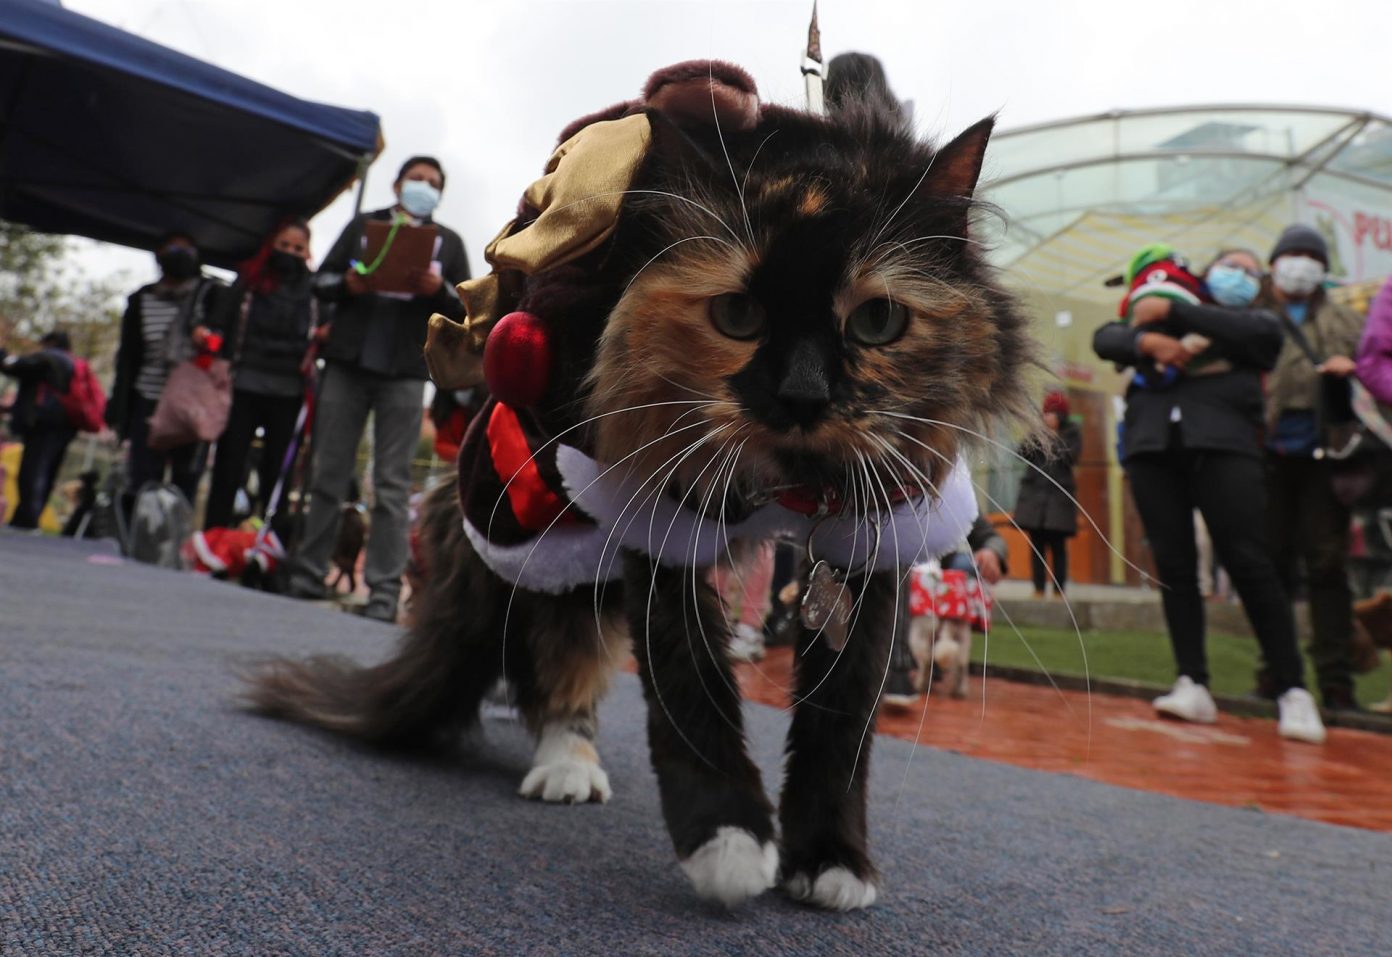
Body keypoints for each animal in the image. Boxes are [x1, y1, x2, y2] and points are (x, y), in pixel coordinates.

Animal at [244, 59, 1041, 912]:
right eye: (737, 313)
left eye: (877, 321)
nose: (803, 396)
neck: (784, 485)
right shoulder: (657, 515)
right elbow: (688, 683)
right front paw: (728, 840)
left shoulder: (872, 527)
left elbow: (842, 715)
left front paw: (831, 858)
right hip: (553, 533)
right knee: (557, 663)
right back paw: (567, 763)